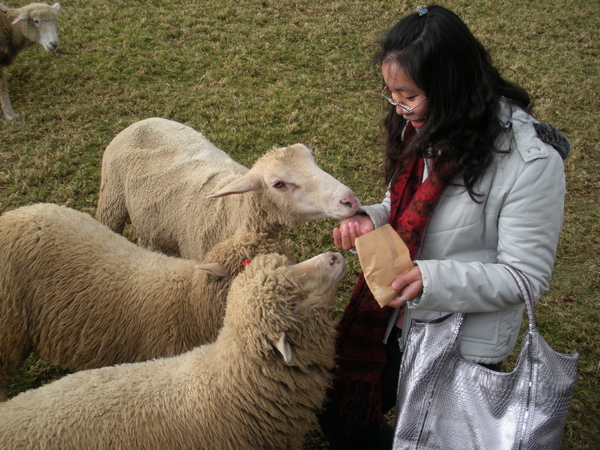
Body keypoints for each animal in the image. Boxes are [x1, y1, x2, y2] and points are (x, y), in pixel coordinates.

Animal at [97, 116, 360, 260]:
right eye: (278, 184)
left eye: (312, 160)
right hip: (111, 199)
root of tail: (143, 122)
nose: (350, 200)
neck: (232, 212)